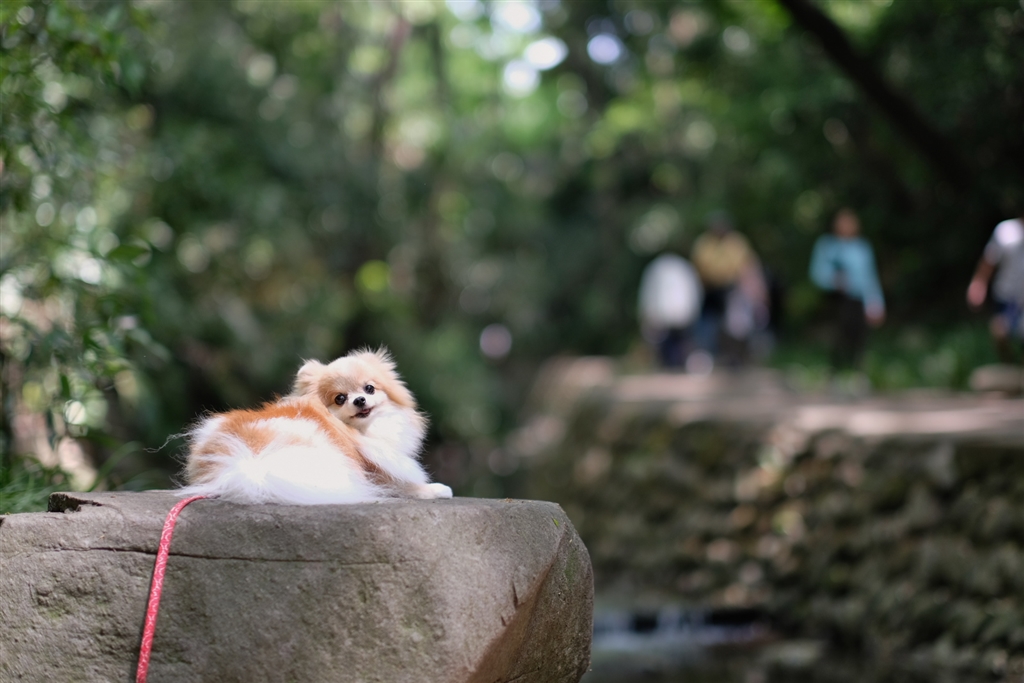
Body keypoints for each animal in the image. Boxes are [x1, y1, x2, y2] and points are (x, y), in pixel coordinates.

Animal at [179, 348, 452, 504]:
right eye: (340, 398)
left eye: (369, 388)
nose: (359, 400)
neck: (362, 431)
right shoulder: (375, 469)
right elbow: (404, 485)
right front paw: (436, 489)